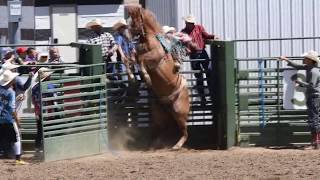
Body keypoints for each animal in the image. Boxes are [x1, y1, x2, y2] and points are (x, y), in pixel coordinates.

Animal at [125, 5, 190, 149]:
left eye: (134, 21)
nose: (125, 35)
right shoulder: (136, 55)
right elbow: (129, 59)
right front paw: (131, 77)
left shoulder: (155, 56)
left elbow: (142, 60)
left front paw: (147, 78)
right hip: (160, 115)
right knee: (162, 130)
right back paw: (153, 145)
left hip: (179, 112)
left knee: (185, 131)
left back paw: (176, 146)